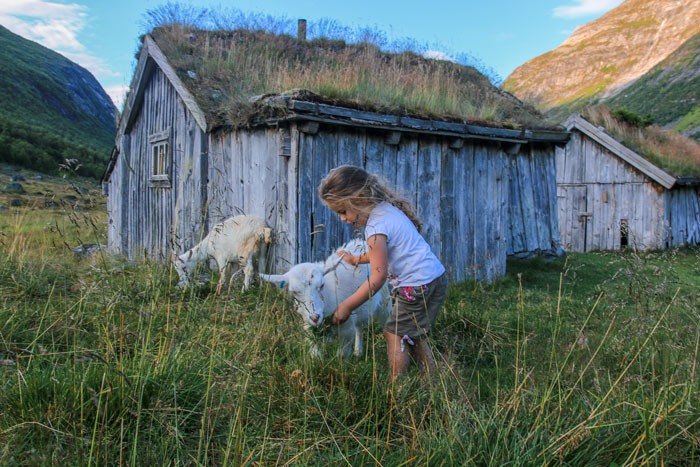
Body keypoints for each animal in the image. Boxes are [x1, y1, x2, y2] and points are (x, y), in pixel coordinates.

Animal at [260, 239, 392, 356]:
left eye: (322, 285)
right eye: (294, 292)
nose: (315, 317)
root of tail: (362, 242)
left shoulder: (346, 329)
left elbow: (342, 355)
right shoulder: (311, 330)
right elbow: (315, 354)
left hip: (385, 300)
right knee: (360, 326)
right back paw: (358, 352)